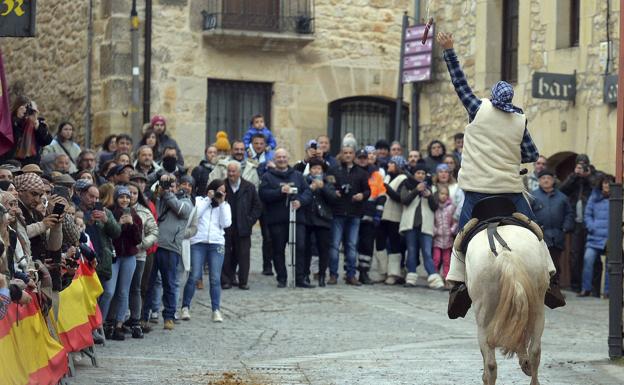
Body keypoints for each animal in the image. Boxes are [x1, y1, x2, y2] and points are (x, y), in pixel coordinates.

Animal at [466, 225, 548, 384]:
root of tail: (504, 253)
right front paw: (525, 363)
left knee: (490, 364)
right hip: (538, 309)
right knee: (534, 350)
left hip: (483, 321)